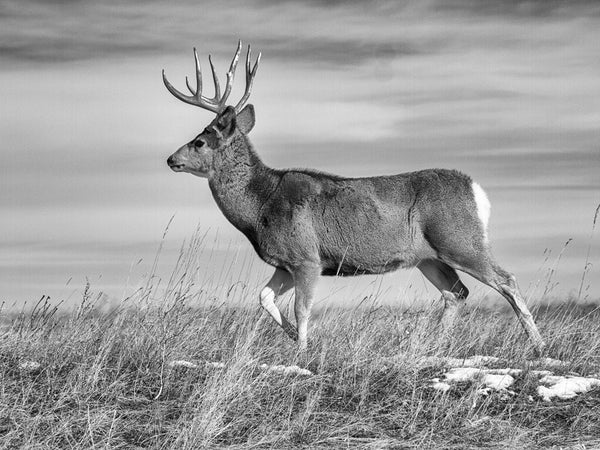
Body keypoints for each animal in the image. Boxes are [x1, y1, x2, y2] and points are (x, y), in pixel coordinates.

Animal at [162, 40, 548, 354]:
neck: (260, 206)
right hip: (428, 256)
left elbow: (302, 309)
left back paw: (538, 346)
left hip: (459, 239)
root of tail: (477, 191)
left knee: (506, 281)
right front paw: (294, 338)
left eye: (199, 141)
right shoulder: (285, 263)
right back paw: (432, 346)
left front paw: (302, 351)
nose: (170, 159)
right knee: (457, 293)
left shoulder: (306, 257)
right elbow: (264, 298)